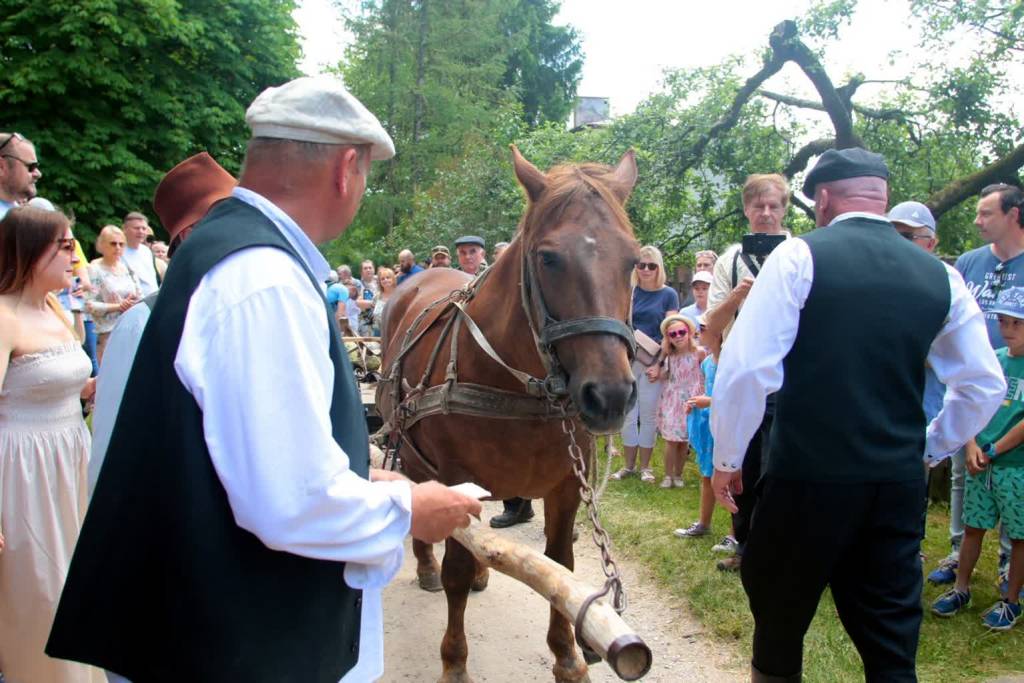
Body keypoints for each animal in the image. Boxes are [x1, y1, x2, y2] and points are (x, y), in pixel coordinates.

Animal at [380, 147, 638, 679]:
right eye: (548, 258)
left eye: (634, 260)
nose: (609, 396)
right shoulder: (453, 475)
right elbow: (455, 569)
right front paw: (454, 660)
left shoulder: (566, 488)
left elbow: (560, 565)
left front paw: (566, 654)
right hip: (412, 449)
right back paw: (425, 564)